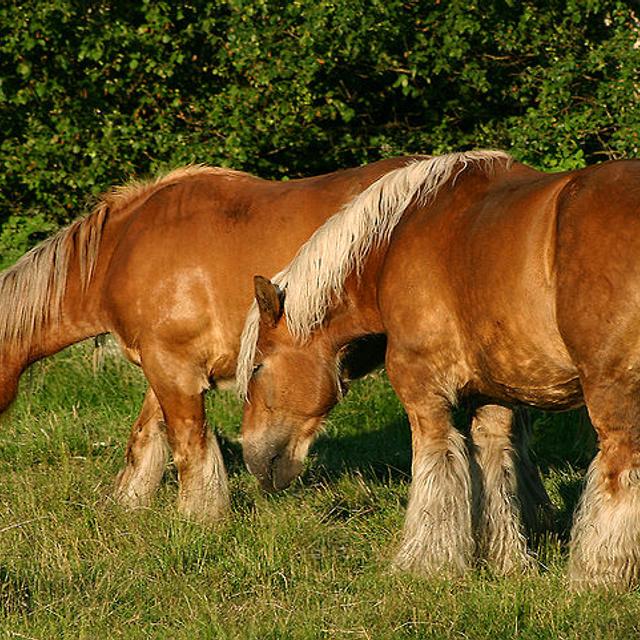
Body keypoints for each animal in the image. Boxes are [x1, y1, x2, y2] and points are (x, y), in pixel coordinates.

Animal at [0, 156, 436, 521]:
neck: (121, 250)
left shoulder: (173, 369)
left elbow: (188, 445)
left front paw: (197, 518)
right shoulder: (164, 367)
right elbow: (145, 438)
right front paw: (128, 504)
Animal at [238, 150, 640, 590]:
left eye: (257, 367)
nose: (252, 456)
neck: (391, 248)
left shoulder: (423, 393)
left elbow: (436, 473)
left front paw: (426, 564)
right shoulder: (493, 397)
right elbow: (493, 472)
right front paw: (505, 561)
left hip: (612, 391)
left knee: (619, 473)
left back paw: (598, 577)